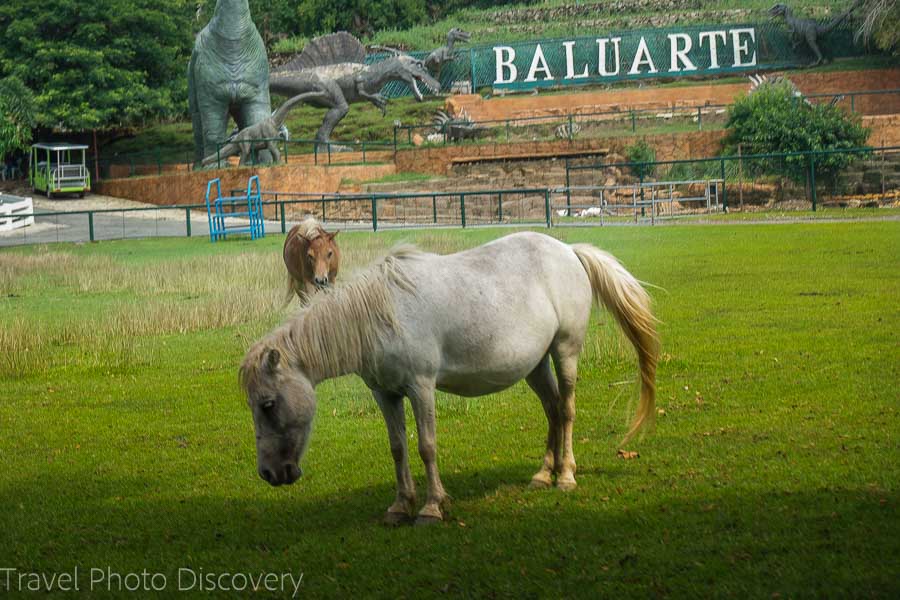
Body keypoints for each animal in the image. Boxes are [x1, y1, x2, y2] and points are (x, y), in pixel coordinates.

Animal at [243, 232, 656, 524]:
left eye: (268, 404)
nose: (269, 473)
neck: (378, 316)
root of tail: (569, 251)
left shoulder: (420, 387)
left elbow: (426, 446)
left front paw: (431, 507)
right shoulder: (385, 394)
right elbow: (398, 448)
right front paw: (400, 506)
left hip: (565, 350)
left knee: (567, 410)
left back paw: (566, 476)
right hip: (535, 365)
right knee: (553, 410)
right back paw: (543, 474)